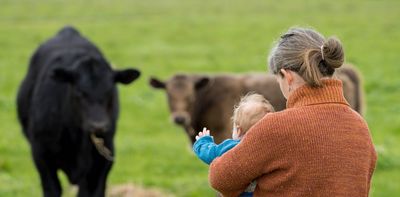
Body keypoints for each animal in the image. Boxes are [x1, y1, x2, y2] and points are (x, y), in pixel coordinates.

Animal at [16, 26, 141, 197]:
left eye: (110, 91)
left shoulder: (103, 160)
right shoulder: (41, 154)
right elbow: (52, 188)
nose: (98, 126)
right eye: (80, 92)